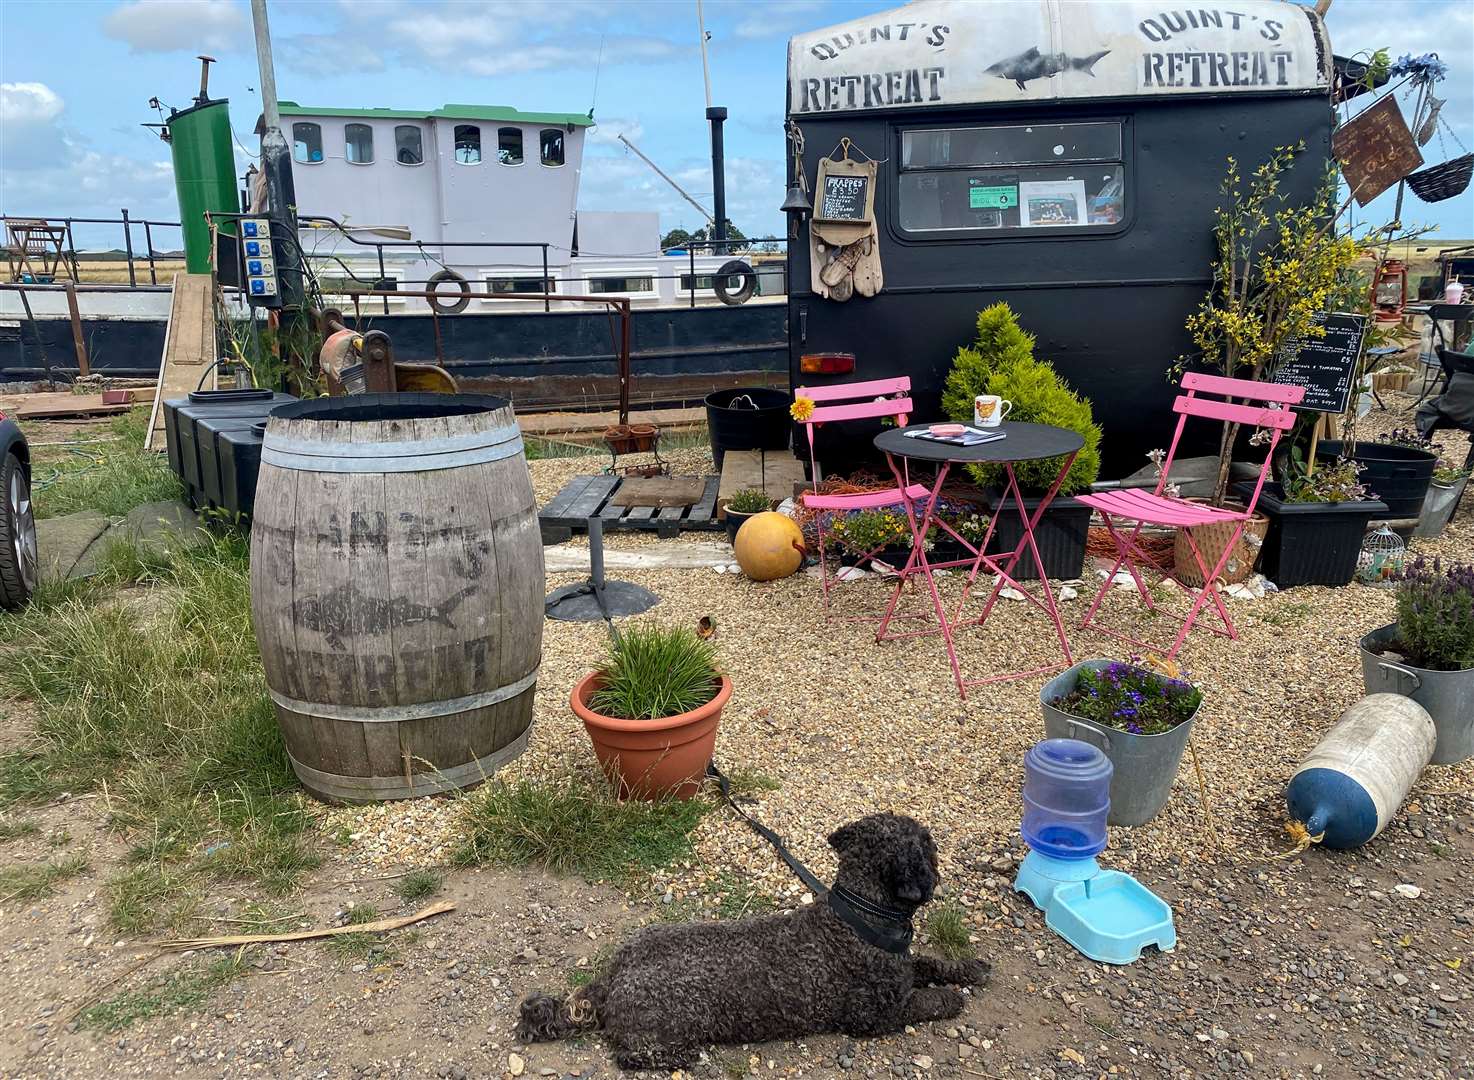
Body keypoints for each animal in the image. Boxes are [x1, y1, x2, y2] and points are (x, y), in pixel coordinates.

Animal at [518, 813, 990, 1066]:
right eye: (927, 843)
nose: (935, 855)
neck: (858, 917)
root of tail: (611, 978)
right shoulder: (873, 1016)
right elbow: (922, 1002)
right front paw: (948, 997)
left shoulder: (905, 967)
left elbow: (929, 963)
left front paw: (968, 968)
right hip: (677, 1020)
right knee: (629, 1056)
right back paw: (681, 1058)